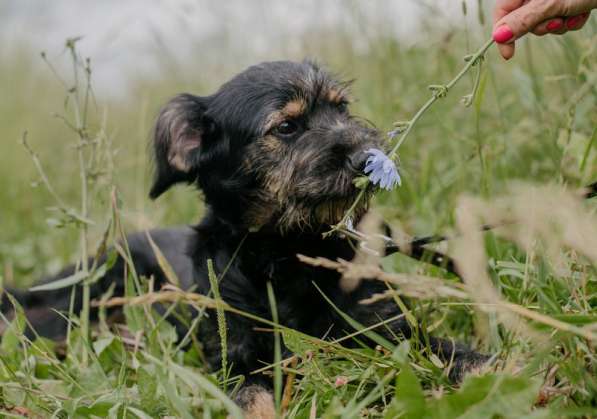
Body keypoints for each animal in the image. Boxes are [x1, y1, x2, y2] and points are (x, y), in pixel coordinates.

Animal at [2, 60, 486, 418]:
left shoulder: (391, 331)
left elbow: (458, 354)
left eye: (342, 108)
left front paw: (498, 369)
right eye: (287, 127)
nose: (367, 158)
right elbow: (251, 401)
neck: (289, 250)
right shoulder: (235, 363)